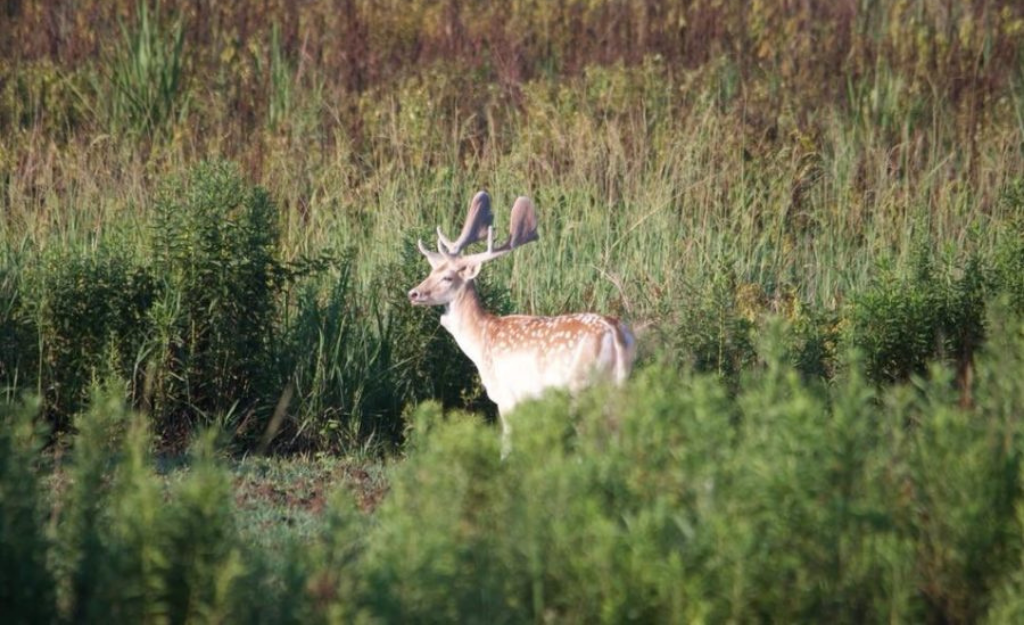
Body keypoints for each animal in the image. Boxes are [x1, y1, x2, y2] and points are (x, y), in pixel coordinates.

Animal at [408, 191, 636, 456]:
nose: (413, 293)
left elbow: (507, 443)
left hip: (582, 384)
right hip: (619, 382)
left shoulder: (507, 394)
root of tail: (615, 331)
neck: (481, 339)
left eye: (447, 277)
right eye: (431, 272)